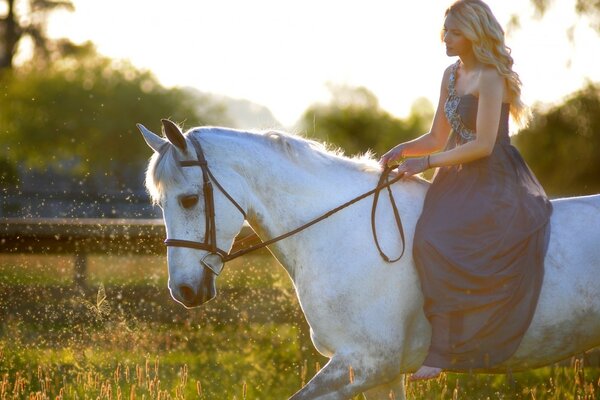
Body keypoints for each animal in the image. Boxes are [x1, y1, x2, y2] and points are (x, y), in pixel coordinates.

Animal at [137, 122, 600, 400]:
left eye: (189, 199)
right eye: (159, 204)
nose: (183, 291)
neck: (345, 234)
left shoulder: (368, 362)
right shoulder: (382, 373)